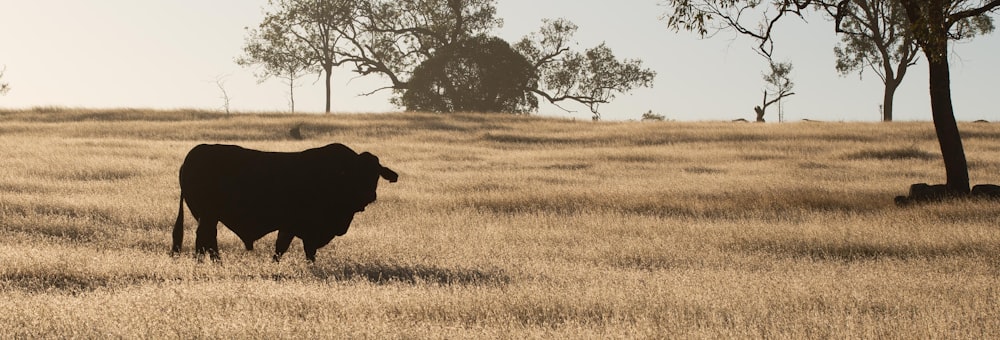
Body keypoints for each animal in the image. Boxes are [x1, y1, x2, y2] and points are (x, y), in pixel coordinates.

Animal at [172, 142, 398, 262]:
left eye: (376, 174)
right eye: (357, 174)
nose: (370, 196)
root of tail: (196, 152)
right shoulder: (296, 226)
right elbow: (285, 249)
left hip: (209, 217)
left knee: (209, 240)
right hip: (208, 216)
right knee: (204, 239)